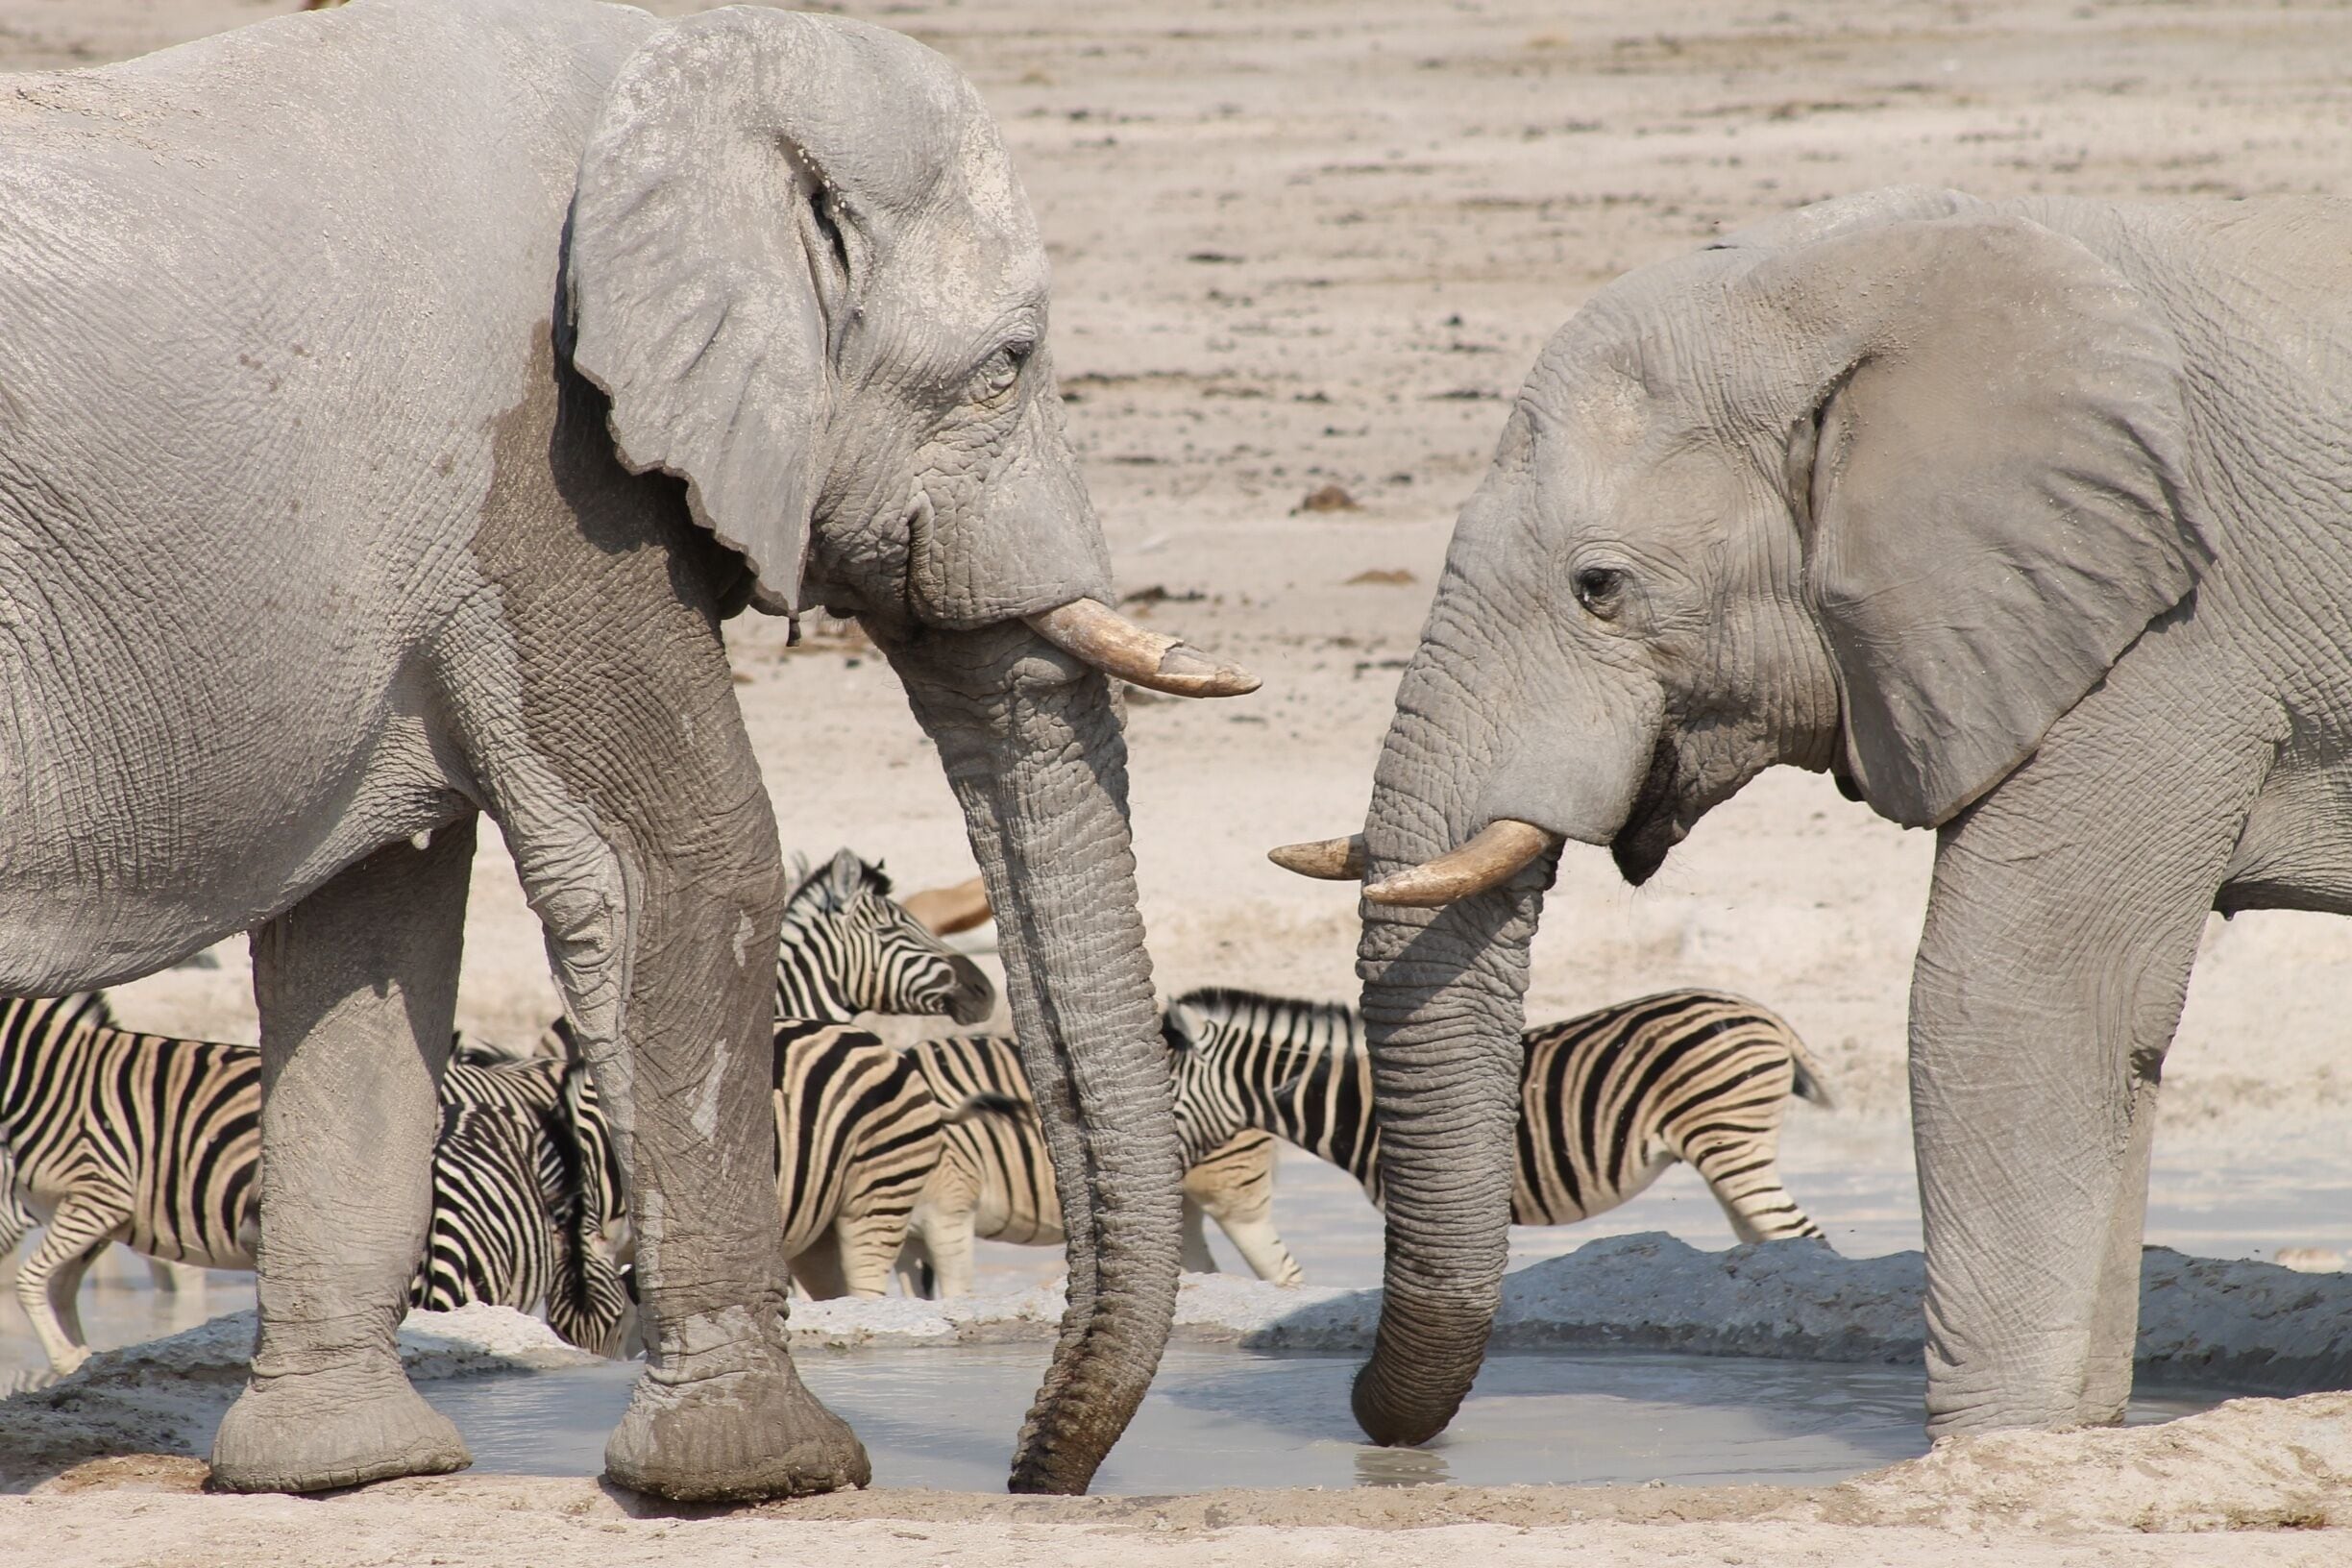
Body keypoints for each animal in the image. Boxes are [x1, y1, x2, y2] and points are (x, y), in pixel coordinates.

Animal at [895, 1032, 1303, 1297]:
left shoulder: (949, 1214)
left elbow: (954, 1297)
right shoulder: (906, 1237)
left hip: (1230, 1193)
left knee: (1282, 1269)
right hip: (1179, 1205)